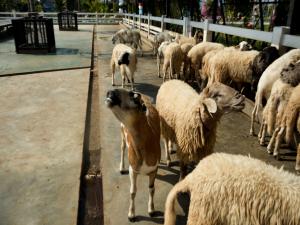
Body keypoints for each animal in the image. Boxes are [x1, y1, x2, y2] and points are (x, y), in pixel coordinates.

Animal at [106, 88, 162, 221]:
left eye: (134, 97)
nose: (110, 93)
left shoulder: (154, 169)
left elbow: (152, 188)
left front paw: (151, 210)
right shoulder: (133, 169)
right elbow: (132, 191)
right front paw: (131, 215)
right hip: (122, 131)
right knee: (122, 147)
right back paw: (121, 168)